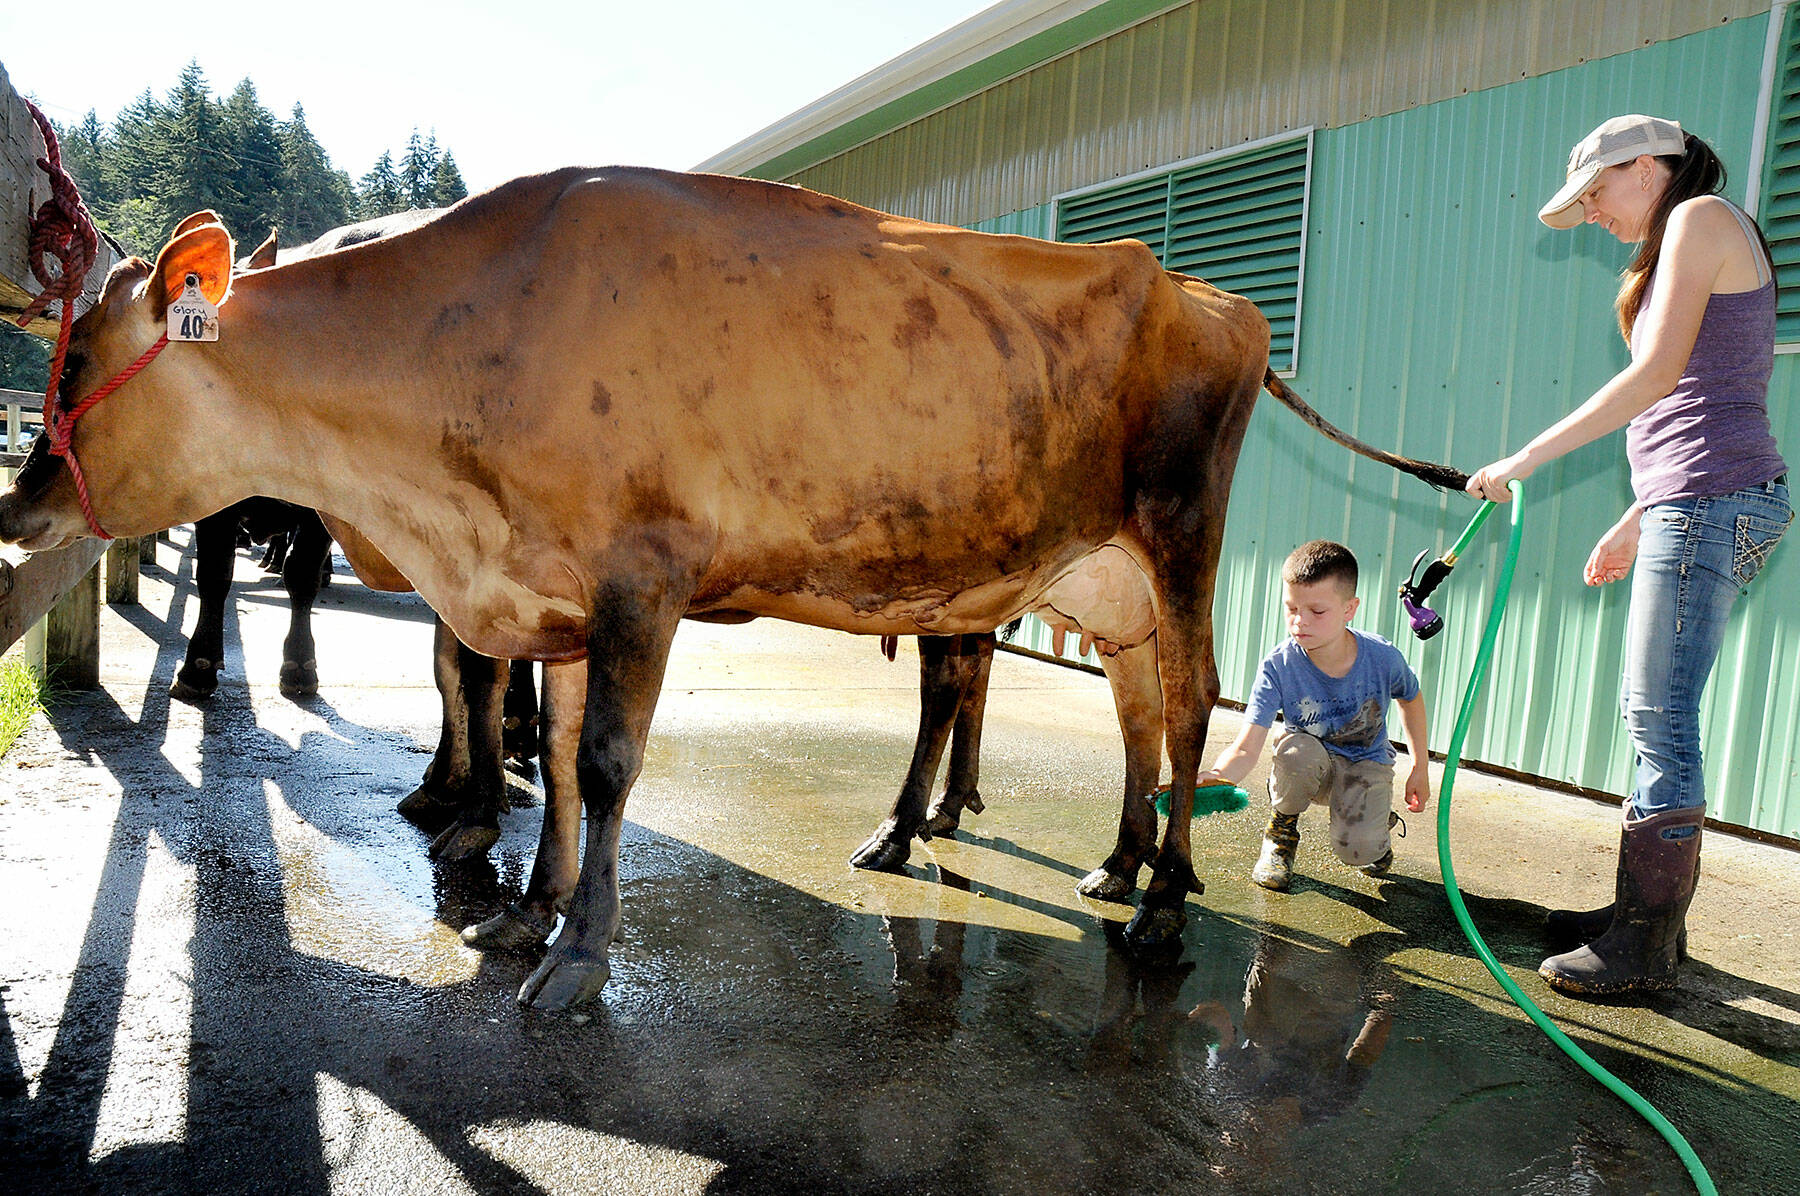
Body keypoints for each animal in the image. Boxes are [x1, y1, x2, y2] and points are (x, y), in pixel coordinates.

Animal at [0, 168, 1462, 1009]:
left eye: (80, 370)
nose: (19, 509)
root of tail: (1212, 296)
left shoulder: (643, 574)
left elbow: (603, 760)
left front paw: (579, 953)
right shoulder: (557, 588)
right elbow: (555, 741)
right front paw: (529, 903)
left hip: (1177, 530)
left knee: (1200, 696)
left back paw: (1162, 907)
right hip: (1101, 580)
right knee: (1138, 708)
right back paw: (1103, 864)